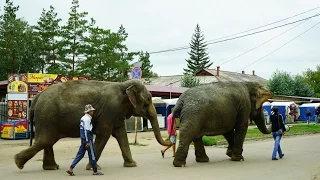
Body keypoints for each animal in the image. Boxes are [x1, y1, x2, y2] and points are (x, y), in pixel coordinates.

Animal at [14, 80, 171, 170]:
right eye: (148, 101)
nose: (169, 140)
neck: (123, 84)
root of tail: (35, 98)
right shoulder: (110, 109)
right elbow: (104, 134)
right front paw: (92, 167)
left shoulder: (116, 113)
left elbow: (121, 134)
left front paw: (132, 165)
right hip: (47, 116)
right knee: (46, 140)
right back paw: (18, 162)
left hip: (47, 117)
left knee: (47, 141)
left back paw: (51, 167)